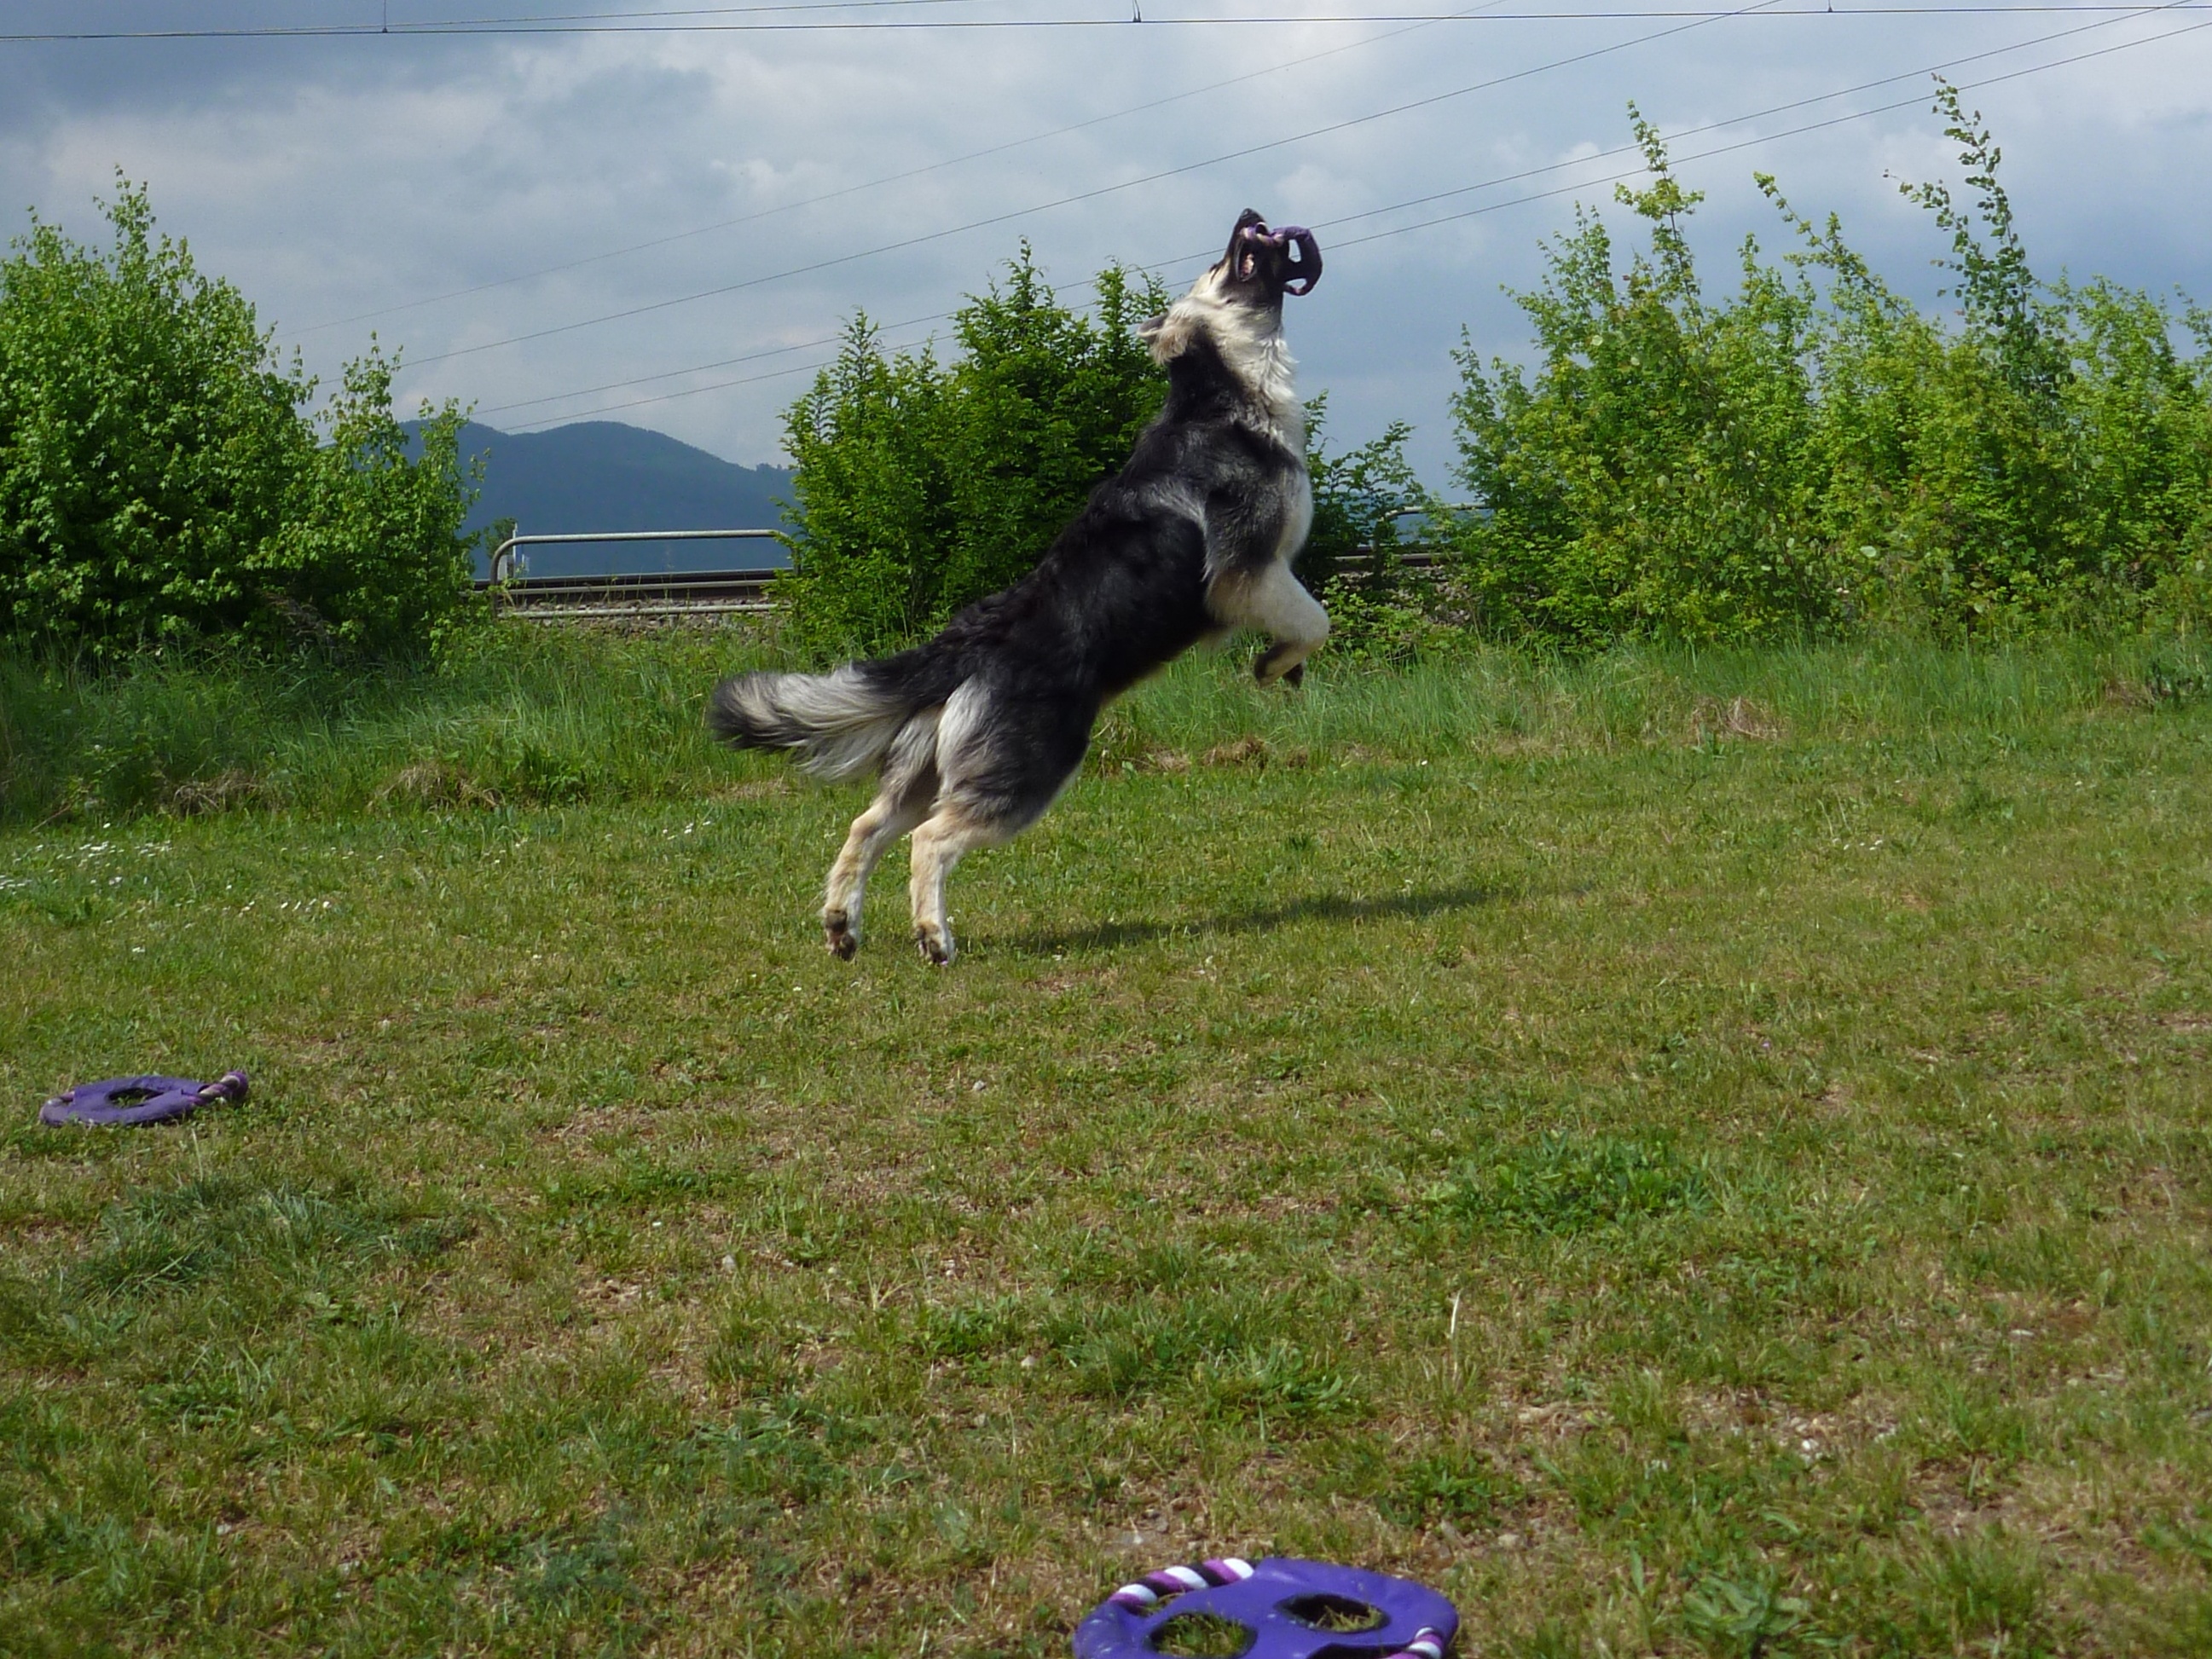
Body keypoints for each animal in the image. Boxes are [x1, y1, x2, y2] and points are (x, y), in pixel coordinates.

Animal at [716, 209, 1318, 968]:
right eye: (1220, 262)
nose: (1249, 216)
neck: (1223, 396)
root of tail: (966, 644)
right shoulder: (1251, 572)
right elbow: (1314, 621)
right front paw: (1272, 664)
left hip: (926, 768)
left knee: (868, 824)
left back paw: (841, 925)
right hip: (1031, 765)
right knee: (929, 840)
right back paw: (933, 937)